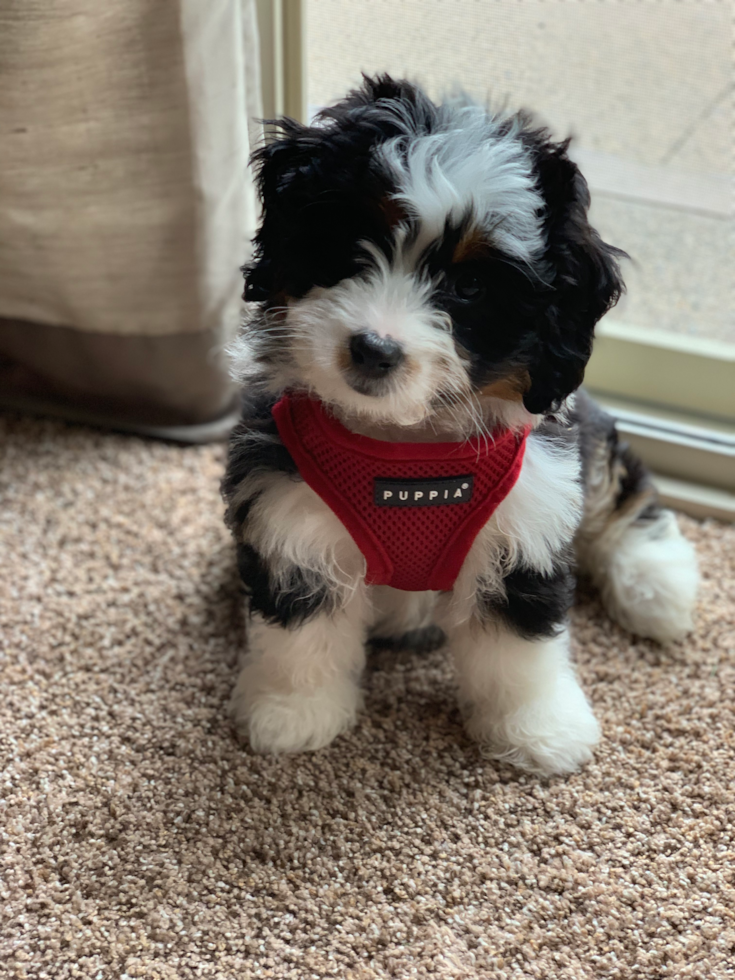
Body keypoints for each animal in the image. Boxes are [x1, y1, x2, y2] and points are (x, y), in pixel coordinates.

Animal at [221, 74, 700, 772]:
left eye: (471, 286)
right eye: (351, 246)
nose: (373, 348)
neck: (408, 444)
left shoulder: (527, 517)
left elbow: (518, 646)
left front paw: (539, 729)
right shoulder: (289, 513)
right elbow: (300, 631)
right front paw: (292, 712)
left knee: (622, 496)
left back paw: (659, 586)